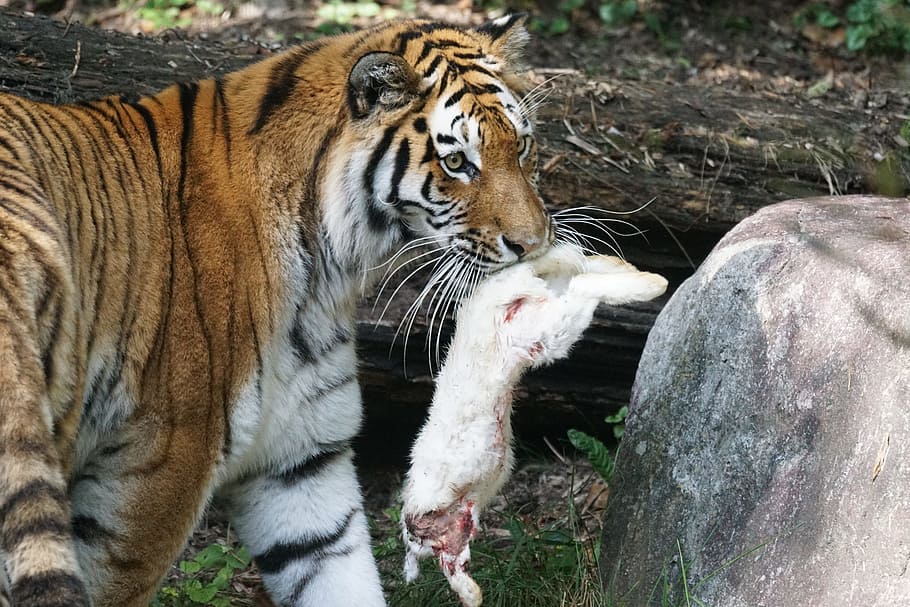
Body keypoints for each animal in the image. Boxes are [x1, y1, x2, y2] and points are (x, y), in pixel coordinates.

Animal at [0, 12, 553, 607]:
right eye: (456, 162)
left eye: (522, 147)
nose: (533, 243)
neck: (329, 264)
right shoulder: (157, 464)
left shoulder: (301, 460)